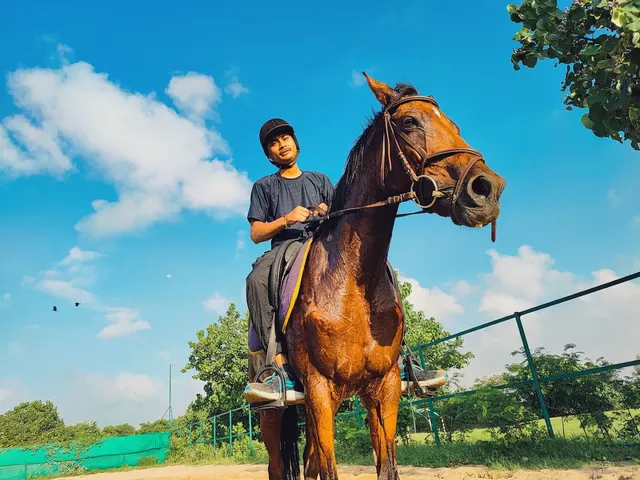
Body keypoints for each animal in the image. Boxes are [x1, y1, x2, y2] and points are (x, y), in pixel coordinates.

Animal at [249, 73, 506, 480]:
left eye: (454, 125)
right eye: (409, 122)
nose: (487, 188)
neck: (354, 281)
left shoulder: (383, 389)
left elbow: (386, 467)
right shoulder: (319, 389)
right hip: (275, 413)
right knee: (279, 464)